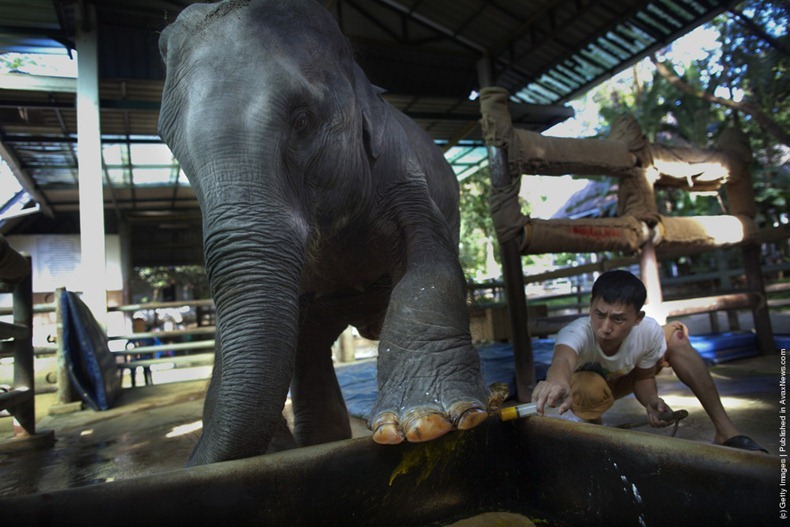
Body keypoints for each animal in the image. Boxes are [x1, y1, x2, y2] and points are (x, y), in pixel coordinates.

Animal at [157, 0, 496, 466]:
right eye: (170, 143)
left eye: (302, 120)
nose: (192, 462)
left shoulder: (400, 174)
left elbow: (430, 264)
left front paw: (430, 424)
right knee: (309, 347)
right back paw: (322, 440)